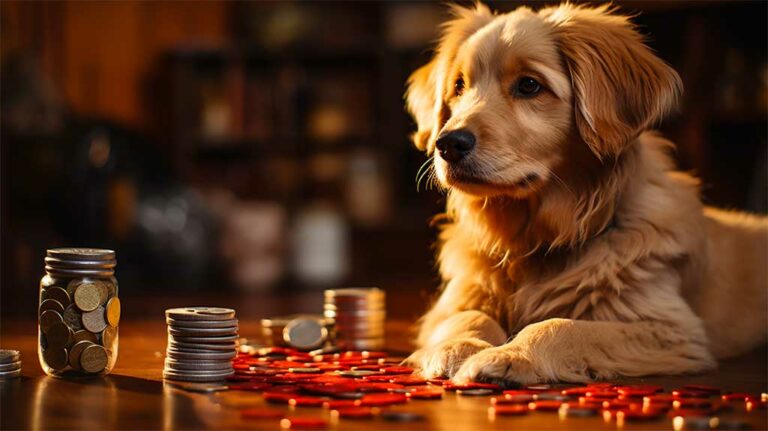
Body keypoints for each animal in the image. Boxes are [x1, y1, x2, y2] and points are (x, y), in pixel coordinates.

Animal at [404, 1, 764, 386]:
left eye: (529, 85)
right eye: (459, 86)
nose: (448, 144)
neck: (534, 239)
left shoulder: (671, 328)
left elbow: (562, 327)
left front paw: (510, 355)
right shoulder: (451, 302)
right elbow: (468, 316)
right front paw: (458, 346)